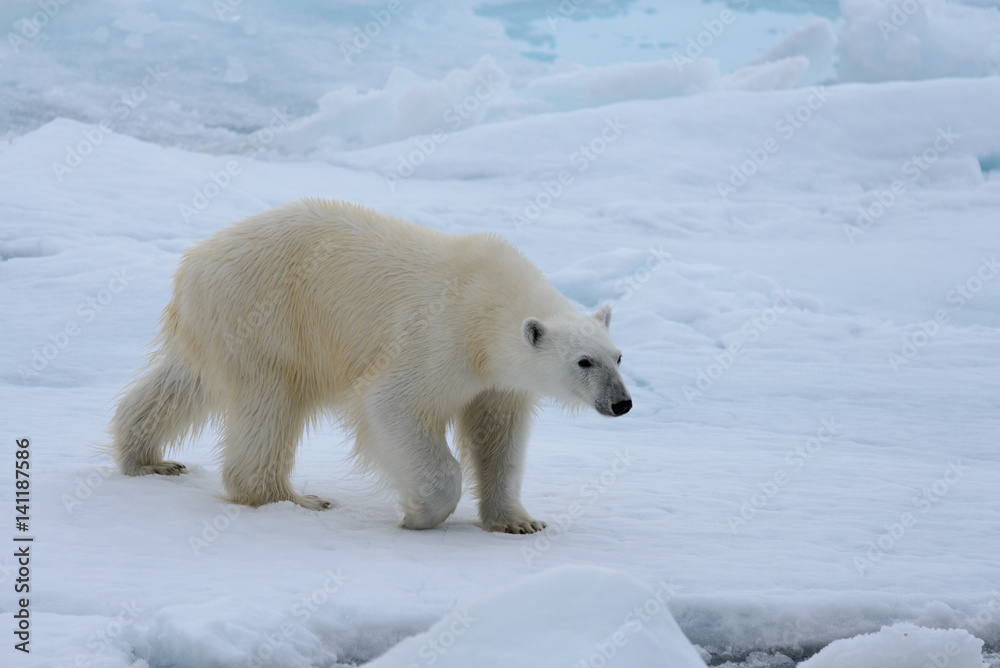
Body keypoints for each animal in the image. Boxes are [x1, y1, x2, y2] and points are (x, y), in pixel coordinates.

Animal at [110, 198, 631, 533]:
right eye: (584, 361)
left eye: (618, 356)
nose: (621, 402)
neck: (487, 305)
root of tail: (193, 263)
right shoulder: (438, 340)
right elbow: (392, 405)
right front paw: (418, 513)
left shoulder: (496, 381)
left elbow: (497, 437)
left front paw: (519, 521)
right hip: (266, 316)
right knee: (269, 401)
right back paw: (294, 498)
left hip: (221, 326)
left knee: (183, 383)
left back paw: (148, 457)